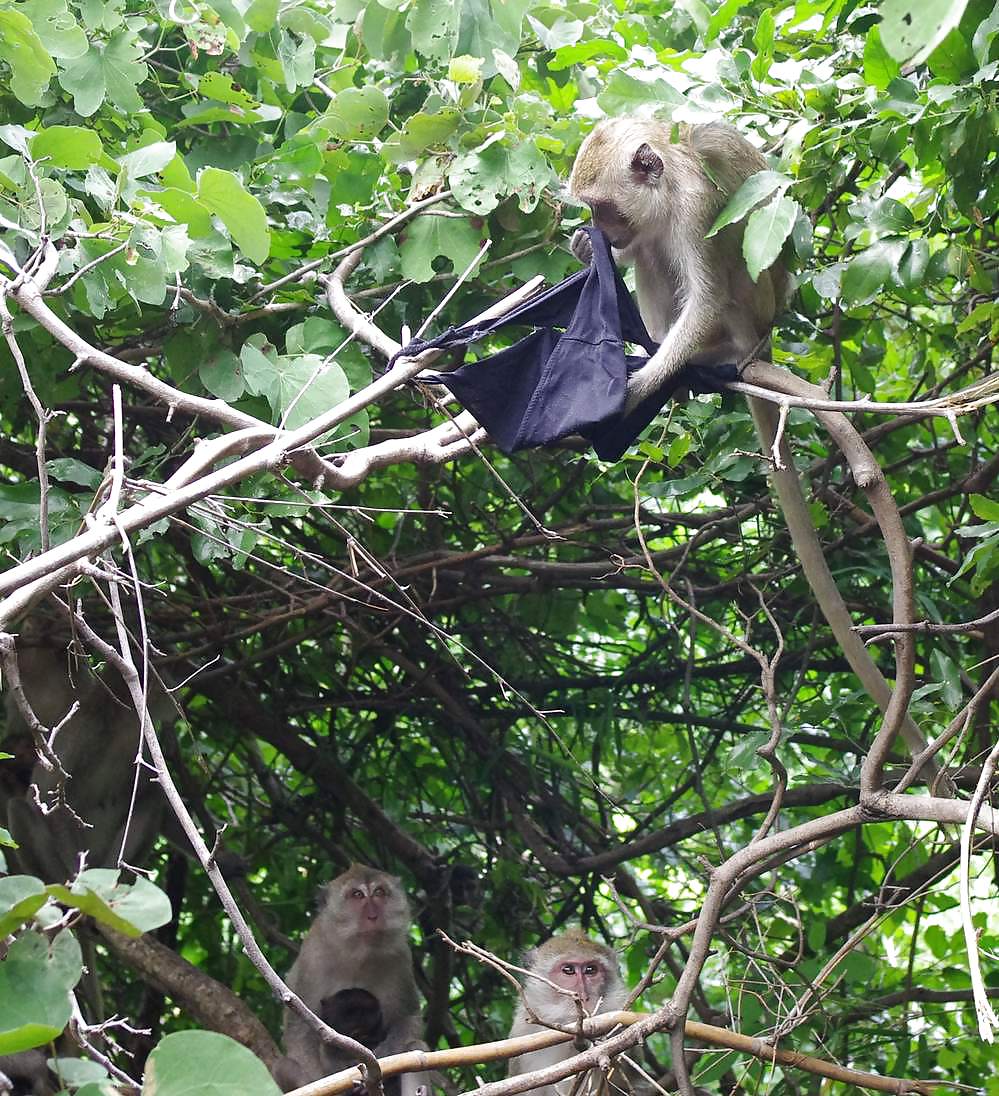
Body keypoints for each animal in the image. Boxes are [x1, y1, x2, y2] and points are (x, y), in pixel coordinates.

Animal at [275, 865, 431, 1095]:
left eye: (379, 892)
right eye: (357, 895)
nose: (373, 916)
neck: (359, 952)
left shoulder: (401, 956)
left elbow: (407, 1019)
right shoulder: (313, 957)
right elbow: (300, 1032)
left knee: (416, 1047)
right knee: (283, 1067)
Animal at [568, 117, 787, 412]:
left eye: (603, 207)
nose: (597, 227)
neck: (670, 184)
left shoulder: (696, 207)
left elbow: (707, 298)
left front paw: (637, 387)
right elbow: (636, 246)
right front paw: (586, 247)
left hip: (759, 306)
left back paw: (735, 349)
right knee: (649, 252)